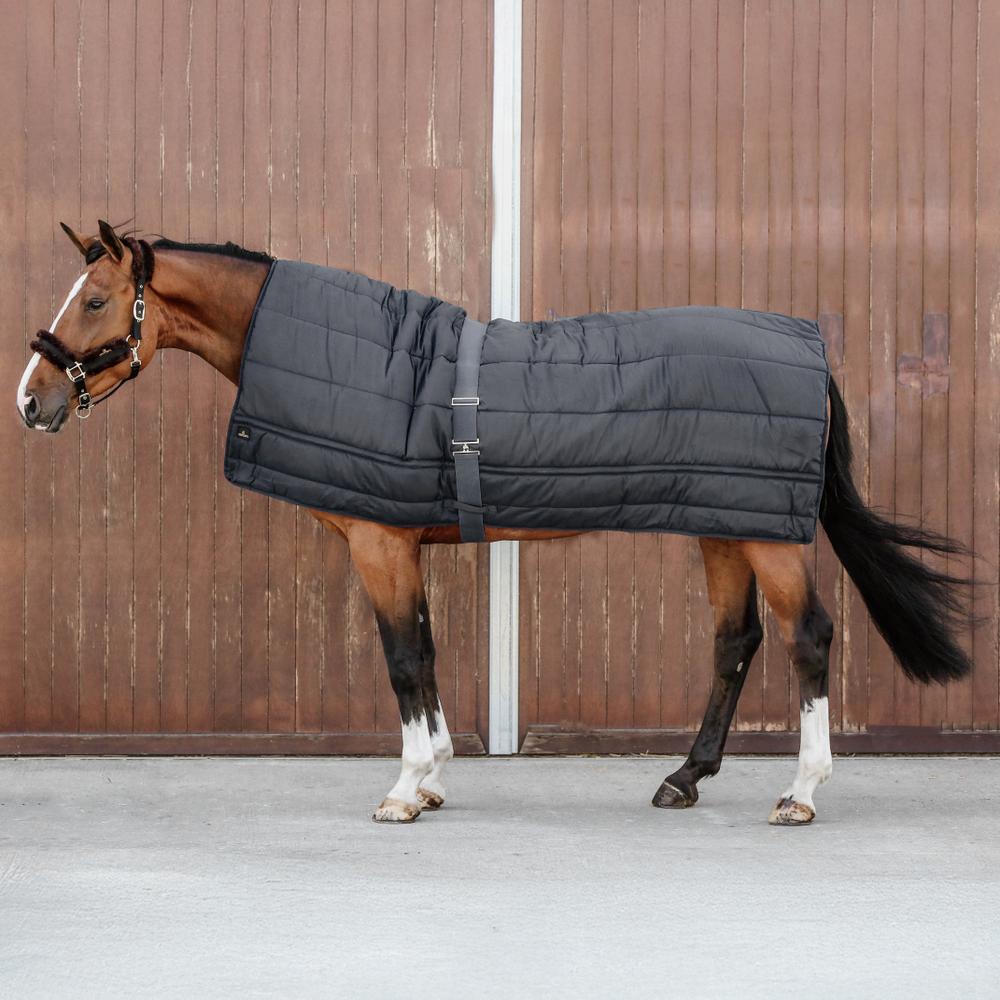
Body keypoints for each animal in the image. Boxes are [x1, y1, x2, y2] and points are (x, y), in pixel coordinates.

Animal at [16, 221, 973, 825]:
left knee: (808, 637)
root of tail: (807, 346)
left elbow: (404, 659)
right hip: (724, 524)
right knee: (735, 641)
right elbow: (428, 653)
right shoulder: (404, 541)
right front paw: (435, 777)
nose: (32, 400)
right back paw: (684, 778)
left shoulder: (380, 544)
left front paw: (403, 790)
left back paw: (802, 793)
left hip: (768, 536)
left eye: (95, 301)